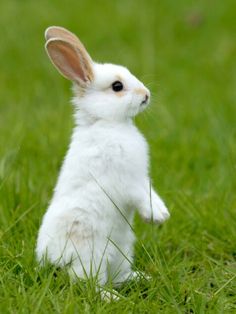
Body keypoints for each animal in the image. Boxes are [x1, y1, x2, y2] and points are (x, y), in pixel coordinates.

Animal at [36, 25, 170, 294]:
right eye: (117, 86)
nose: (146, 95)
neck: (108, 123)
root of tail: (51, 258)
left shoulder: (141, 177)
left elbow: (150, 191)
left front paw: (162, 213)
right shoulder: (125, 181)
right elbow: (140, 195)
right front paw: (156, 217)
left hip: (122, 251)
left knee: (117, 276)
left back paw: (141, 279)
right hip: (91, 255)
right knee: (86, 283)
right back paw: (111, 297)